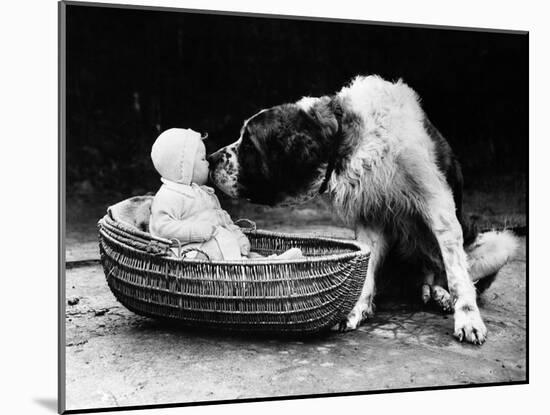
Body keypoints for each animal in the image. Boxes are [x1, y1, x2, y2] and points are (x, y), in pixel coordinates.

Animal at [208, 75, 520, 344]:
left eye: (249, 144)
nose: (211, 158)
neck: (347, 134)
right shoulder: (370, 214)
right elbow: (366, 267)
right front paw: (355, 310)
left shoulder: (438, 208)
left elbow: (457, 275)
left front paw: (468, 319)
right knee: (426, 276)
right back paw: (431, 291)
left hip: (499, 242)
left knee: (449, 270)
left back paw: (443, 295)